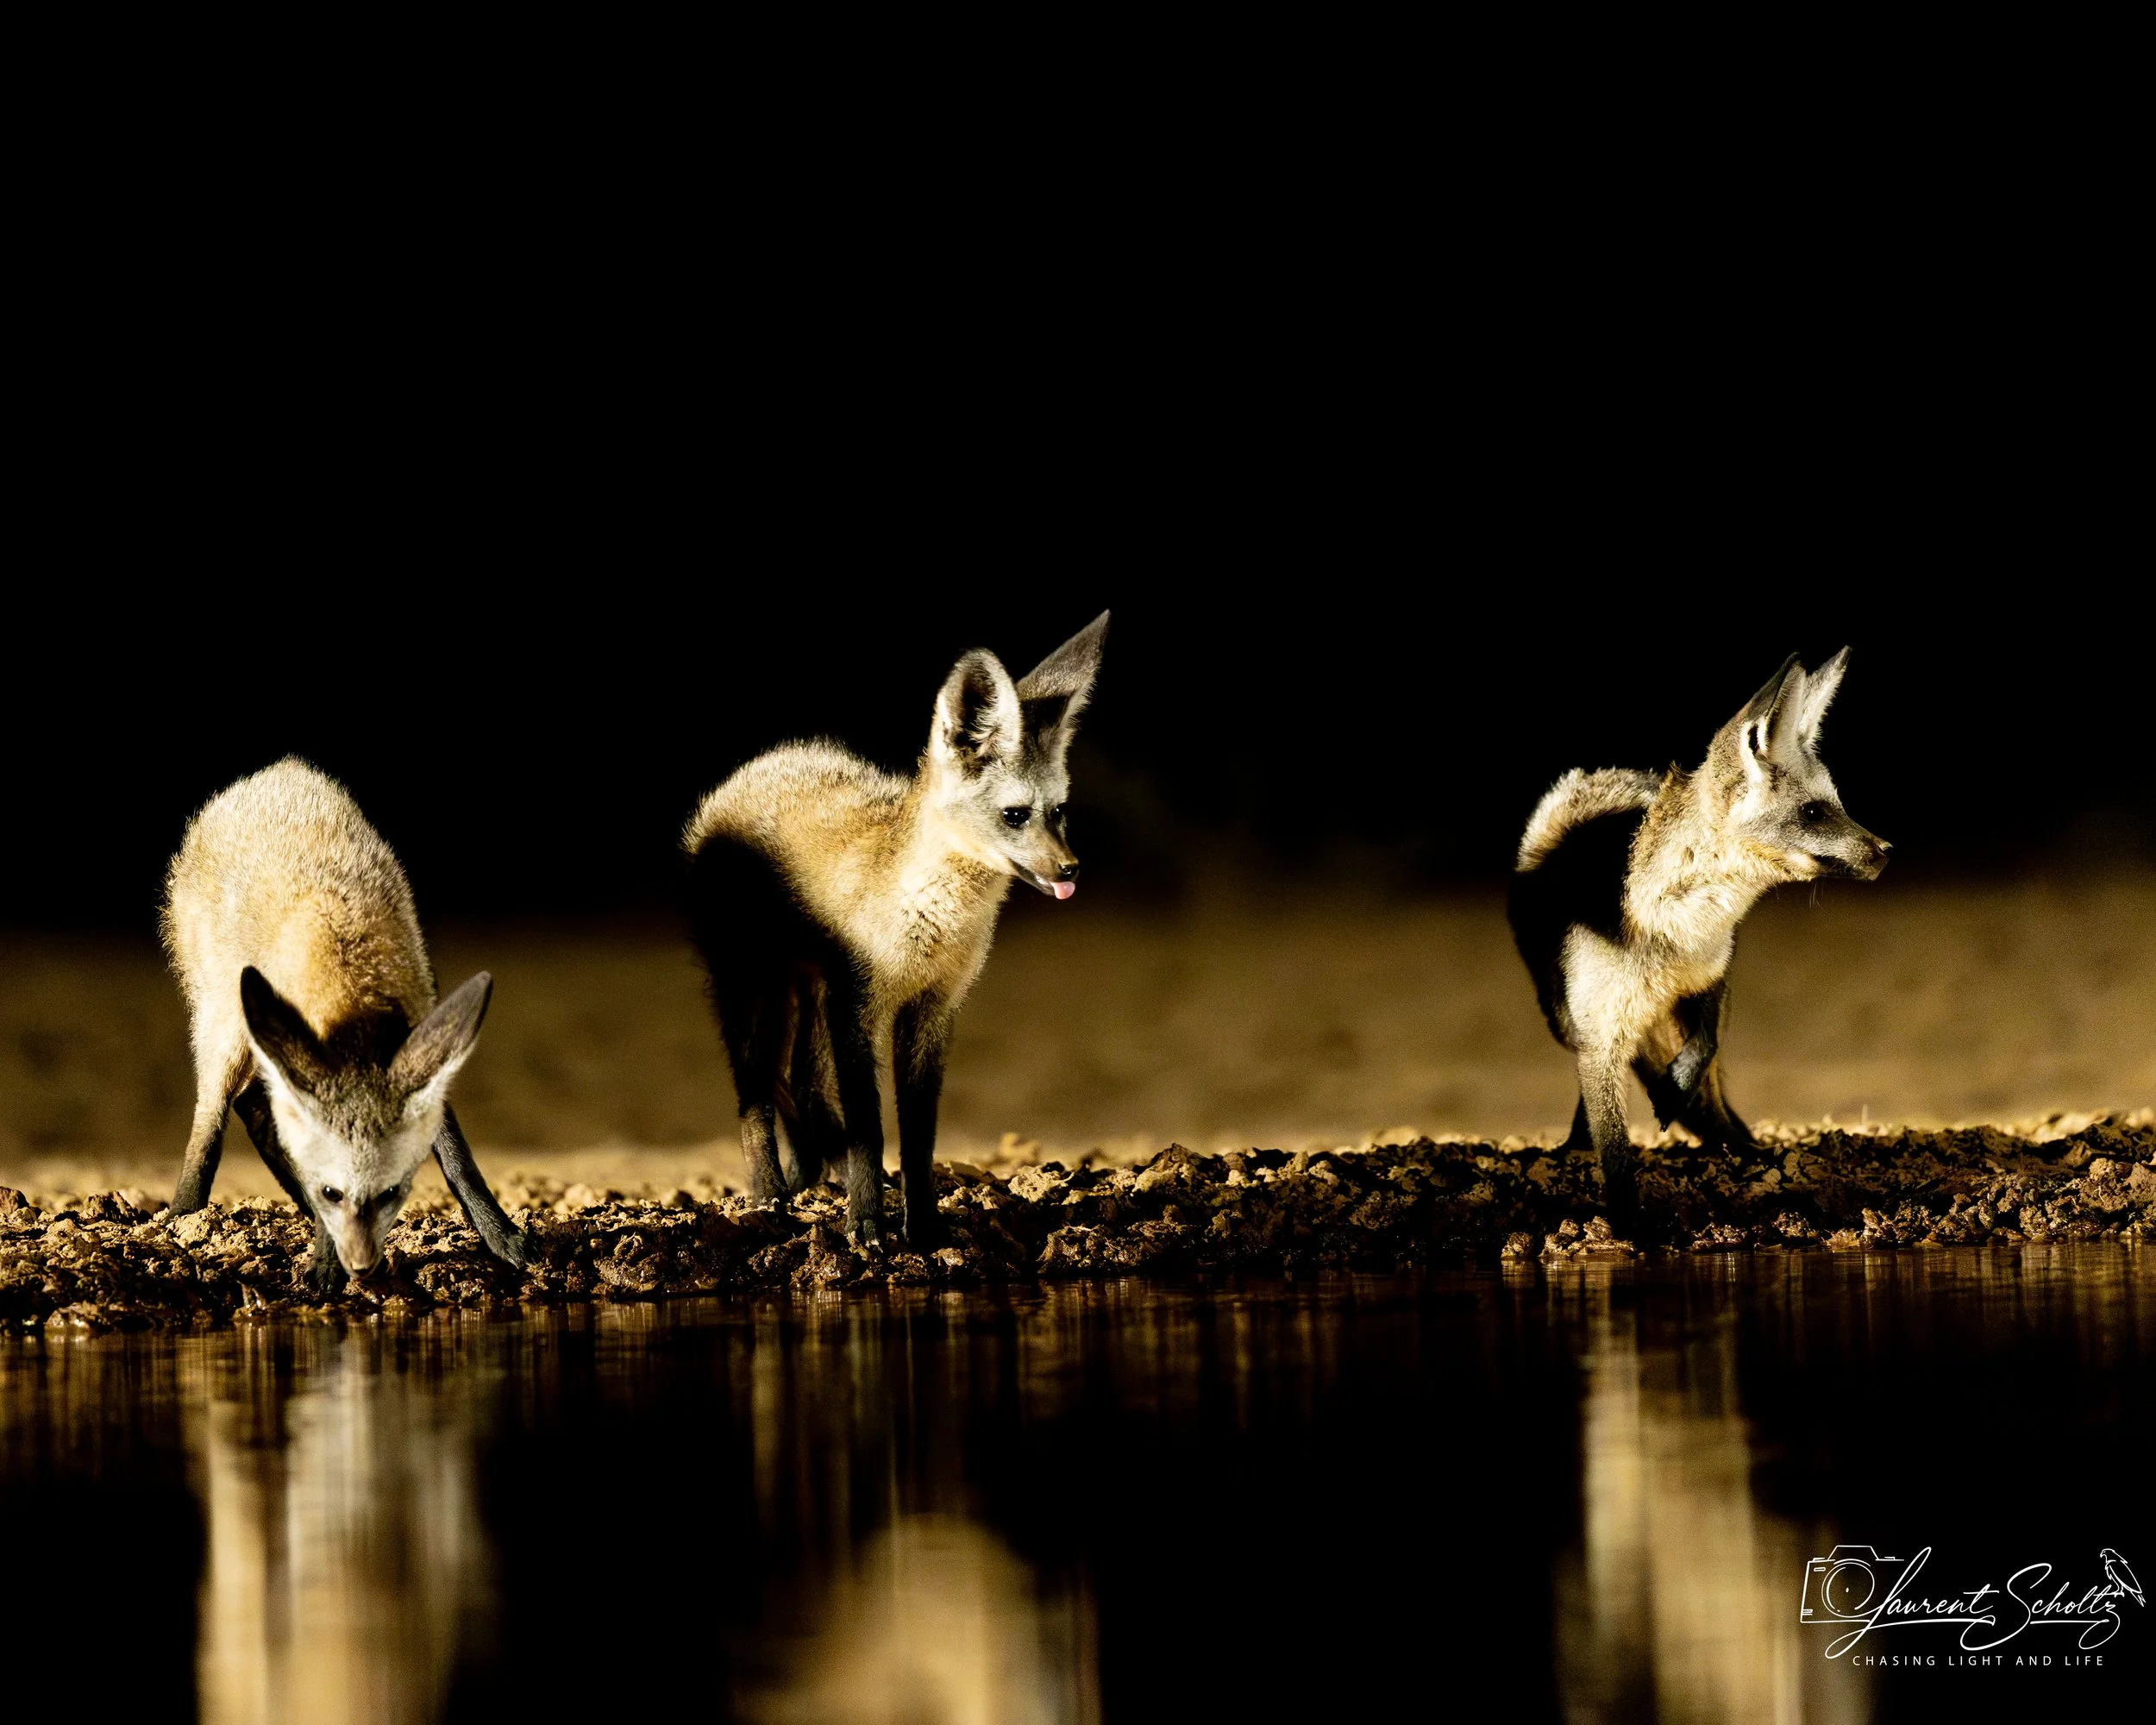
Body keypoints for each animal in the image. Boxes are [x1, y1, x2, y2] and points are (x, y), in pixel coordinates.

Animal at [162, 758, 528, 1291]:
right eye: (333, 1192)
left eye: (391, 1192)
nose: (361, 1265)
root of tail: (269, 775)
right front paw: (324, 1261)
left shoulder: (418, 1034)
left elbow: (457, 1155)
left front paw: (499, 1234)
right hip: (224, 1022)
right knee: (215, 1113)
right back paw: (183, 1217)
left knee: (251, 1104)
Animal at [683, 612, 1109, 1247]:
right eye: (1014, 816)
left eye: (1059, 811)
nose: (1070, 871)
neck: (930, 926)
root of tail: (759, 766)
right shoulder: (860, 1006)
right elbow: (869, 1128)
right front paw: (866, 1225)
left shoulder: (932, 1009)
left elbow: (918, 1137)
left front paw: (924, 1226)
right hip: (751, 986)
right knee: (754, 1089)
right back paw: (770, 1194)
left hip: (809, 993)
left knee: (799, 1083)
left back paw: (810, 1174)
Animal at [1508, 649, 1889, 1226]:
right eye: (1813, 812)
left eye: (1838, 804)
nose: (1886, 852)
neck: (1673, 937)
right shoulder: (1601, 1036)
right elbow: (1614, 1148)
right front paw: (1627, 1225)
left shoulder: (1713, 978)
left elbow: (1704, 1048)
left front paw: (1681, 1101)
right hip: (1563, 1019)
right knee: (1585, 1093)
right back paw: (1574, 1147)